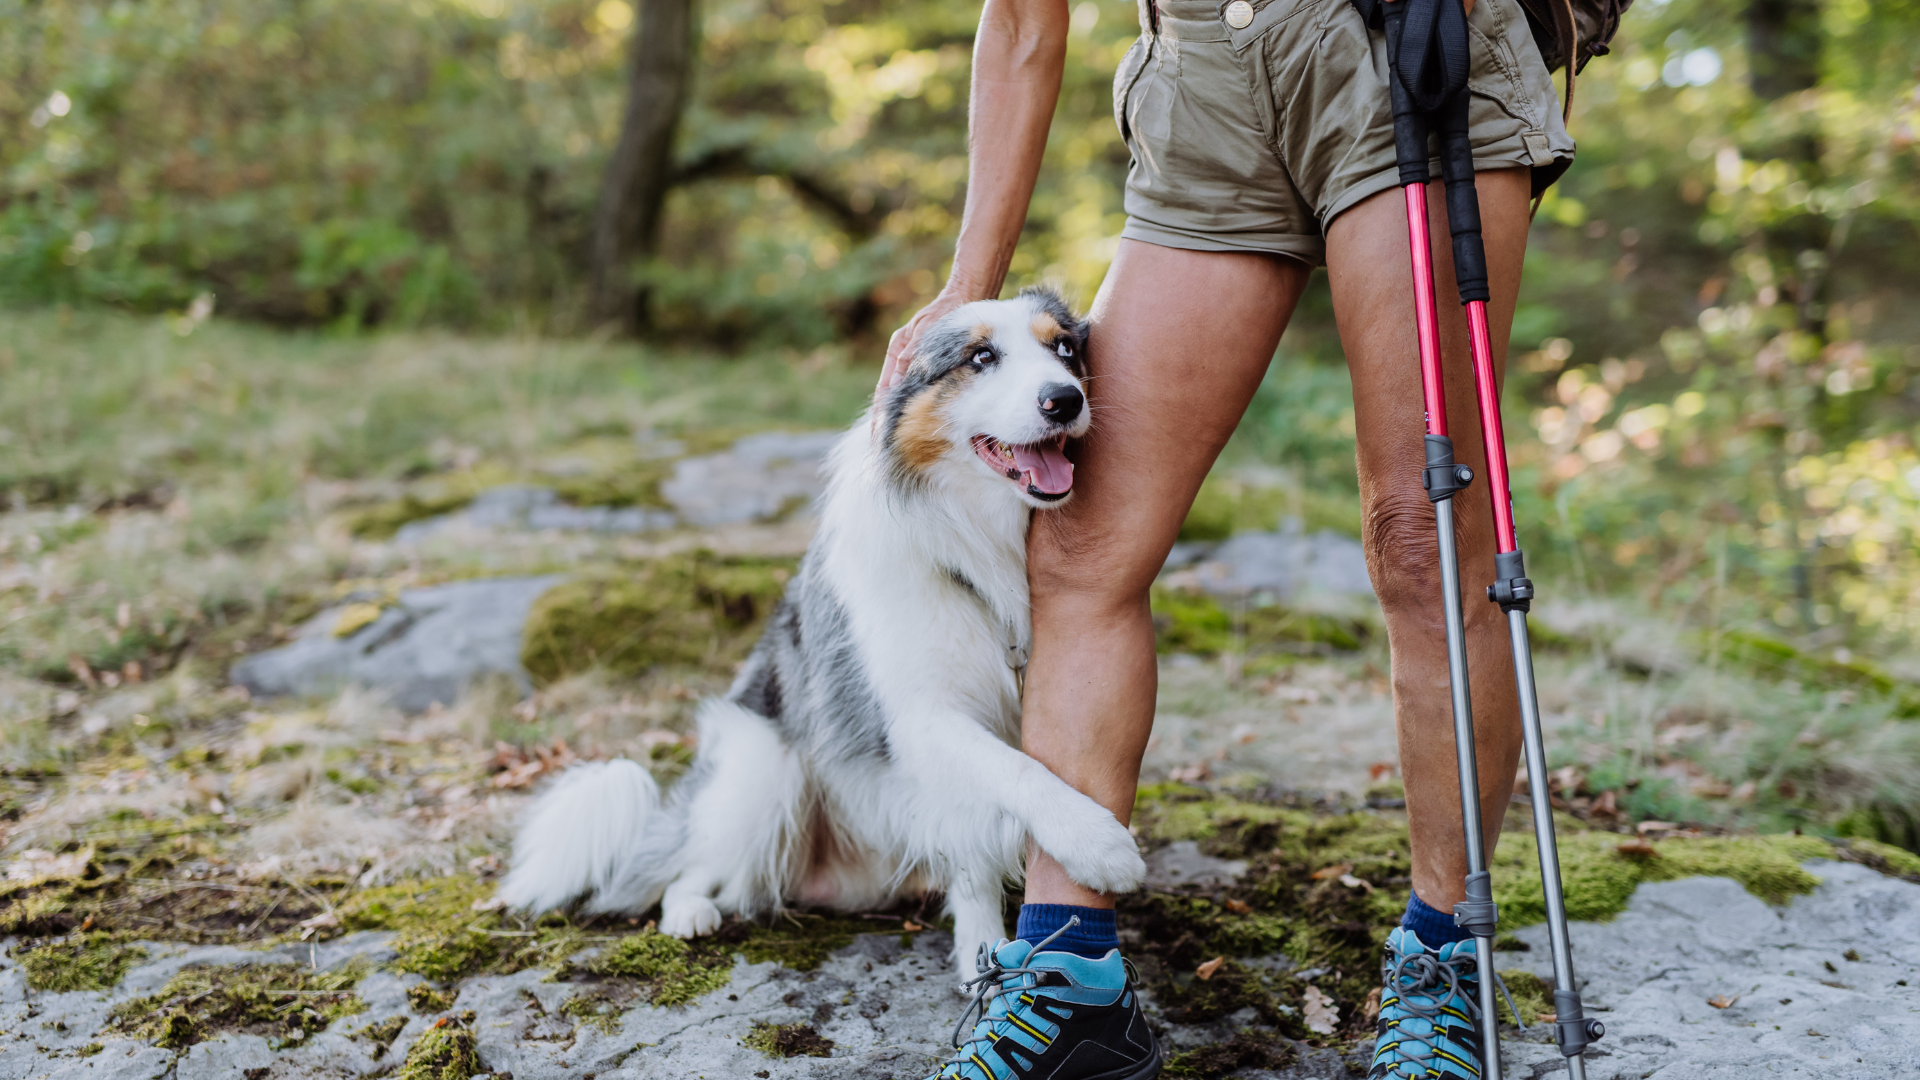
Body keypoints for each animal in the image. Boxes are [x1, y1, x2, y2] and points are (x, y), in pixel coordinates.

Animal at [503, 286, 1144, 976]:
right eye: (980, 357)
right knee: (694, 867)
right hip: (765, 773)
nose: (1065, 399)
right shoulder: (922, 718)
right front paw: (1095, 848)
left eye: (1064, 349)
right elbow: (1013, 776)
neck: (982, 537)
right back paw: (689, 912)